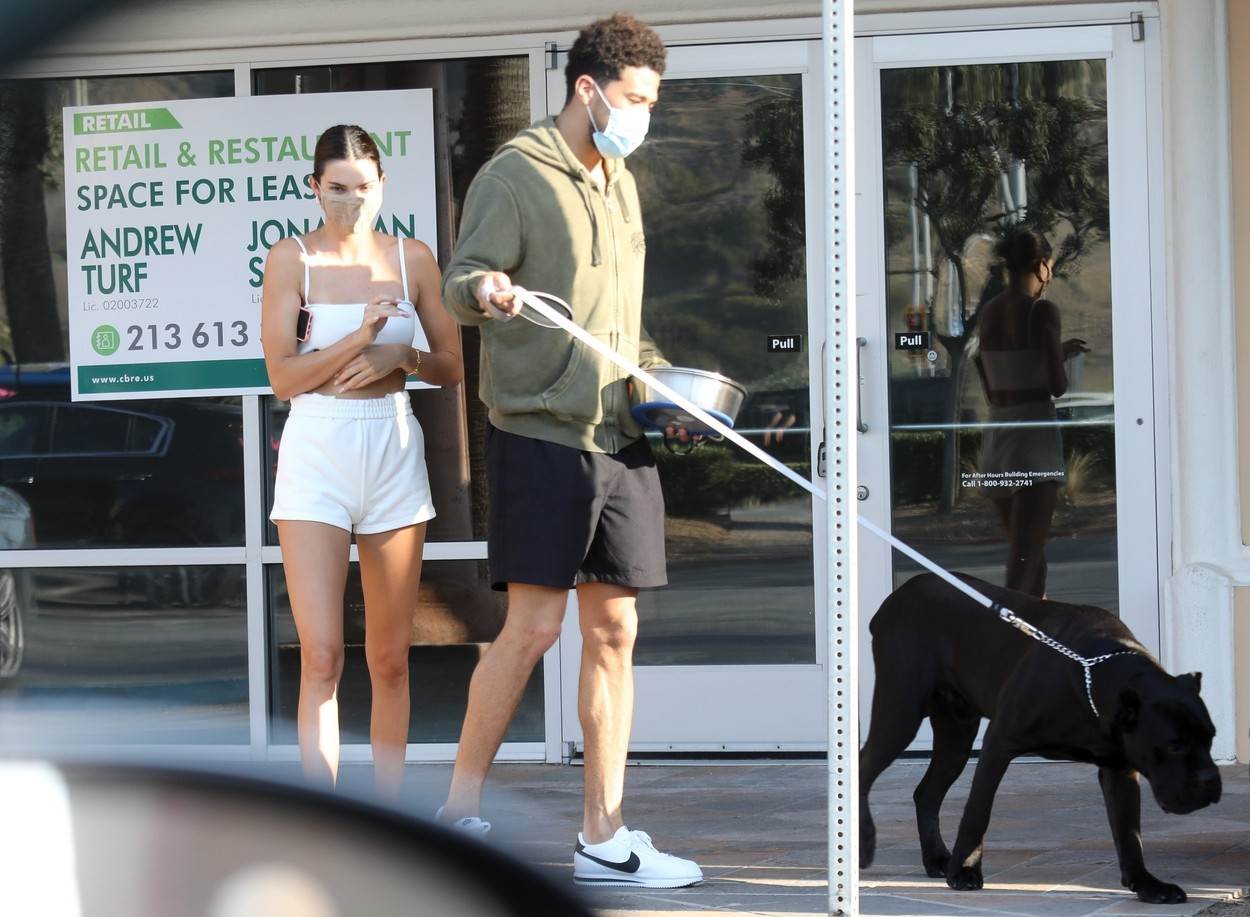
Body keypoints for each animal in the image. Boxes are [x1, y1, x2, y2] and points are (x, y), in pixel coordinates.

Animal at [860, 574, 1220, 904]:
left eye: (1211, 739)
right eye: (1175, 745)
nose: (1211, 781)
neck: (1090, 676)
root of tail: (895, 599)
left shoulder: (1119, 768)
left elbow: (1129, 831)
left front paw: (1146, 883)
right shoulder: (998, 743)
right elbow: (978, 811)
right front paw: (965, 870)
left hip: (956, 736)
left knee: (926, 794)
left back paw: (935, 858)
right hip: (901, 714)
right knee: (864, 769)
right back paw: (863, 845)